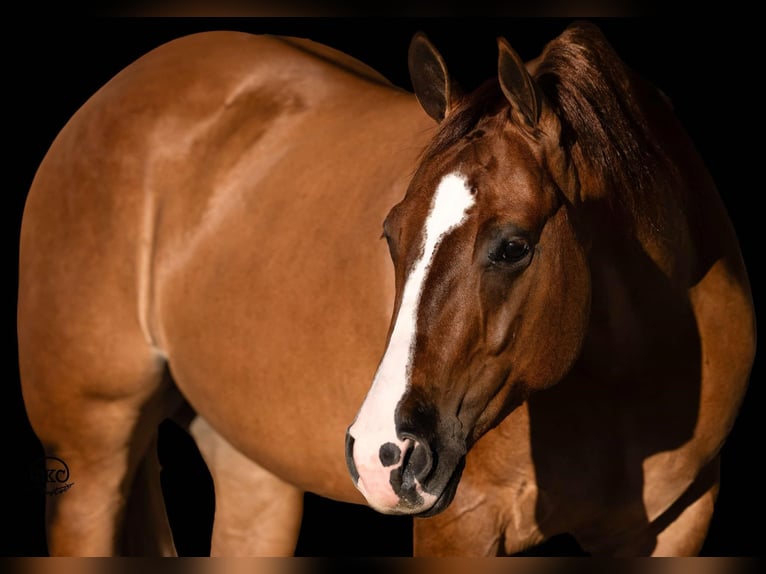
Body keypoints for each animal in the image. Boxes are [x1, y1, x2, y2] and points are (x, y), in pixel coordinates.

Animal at [16, 21, 756, 560]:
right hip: (88, 459)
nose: (383, 455)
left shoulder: (674, 527)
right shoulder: (460, 525)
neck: (625, 384)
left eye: (513, 246)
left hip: (253, 472)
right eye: (391, 235)